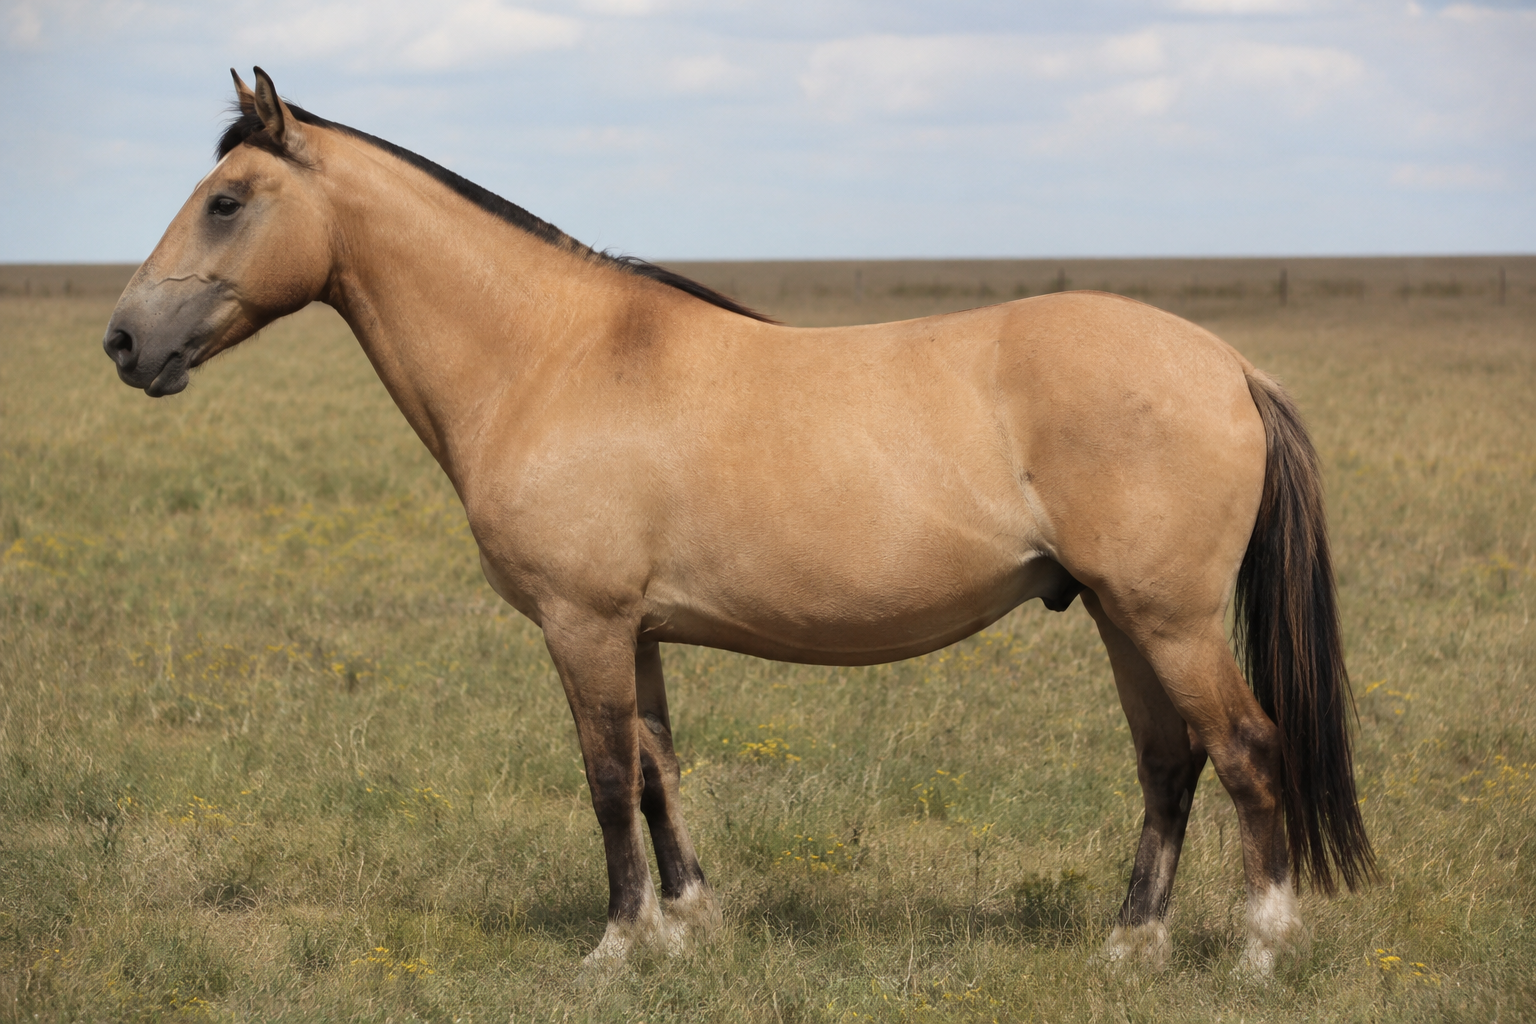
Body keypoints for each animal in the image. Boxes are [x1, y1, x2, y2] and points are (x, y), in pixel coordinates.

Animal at [102, 68, 1373, 975]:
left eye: (225, 202)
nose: (123, 341)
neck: (548, 355)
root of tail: (1227, 363)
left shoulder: (583, 624)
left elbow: (605, 776)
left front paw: (615, 948)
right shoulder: (637, 631)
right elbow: (659, 773)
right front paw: (689, 926)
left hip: (1167, 619)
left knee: (1246, 749)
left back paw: (1259, 951)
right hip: (1122, 615)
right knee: (1169, 761)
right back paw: (1130, 945)